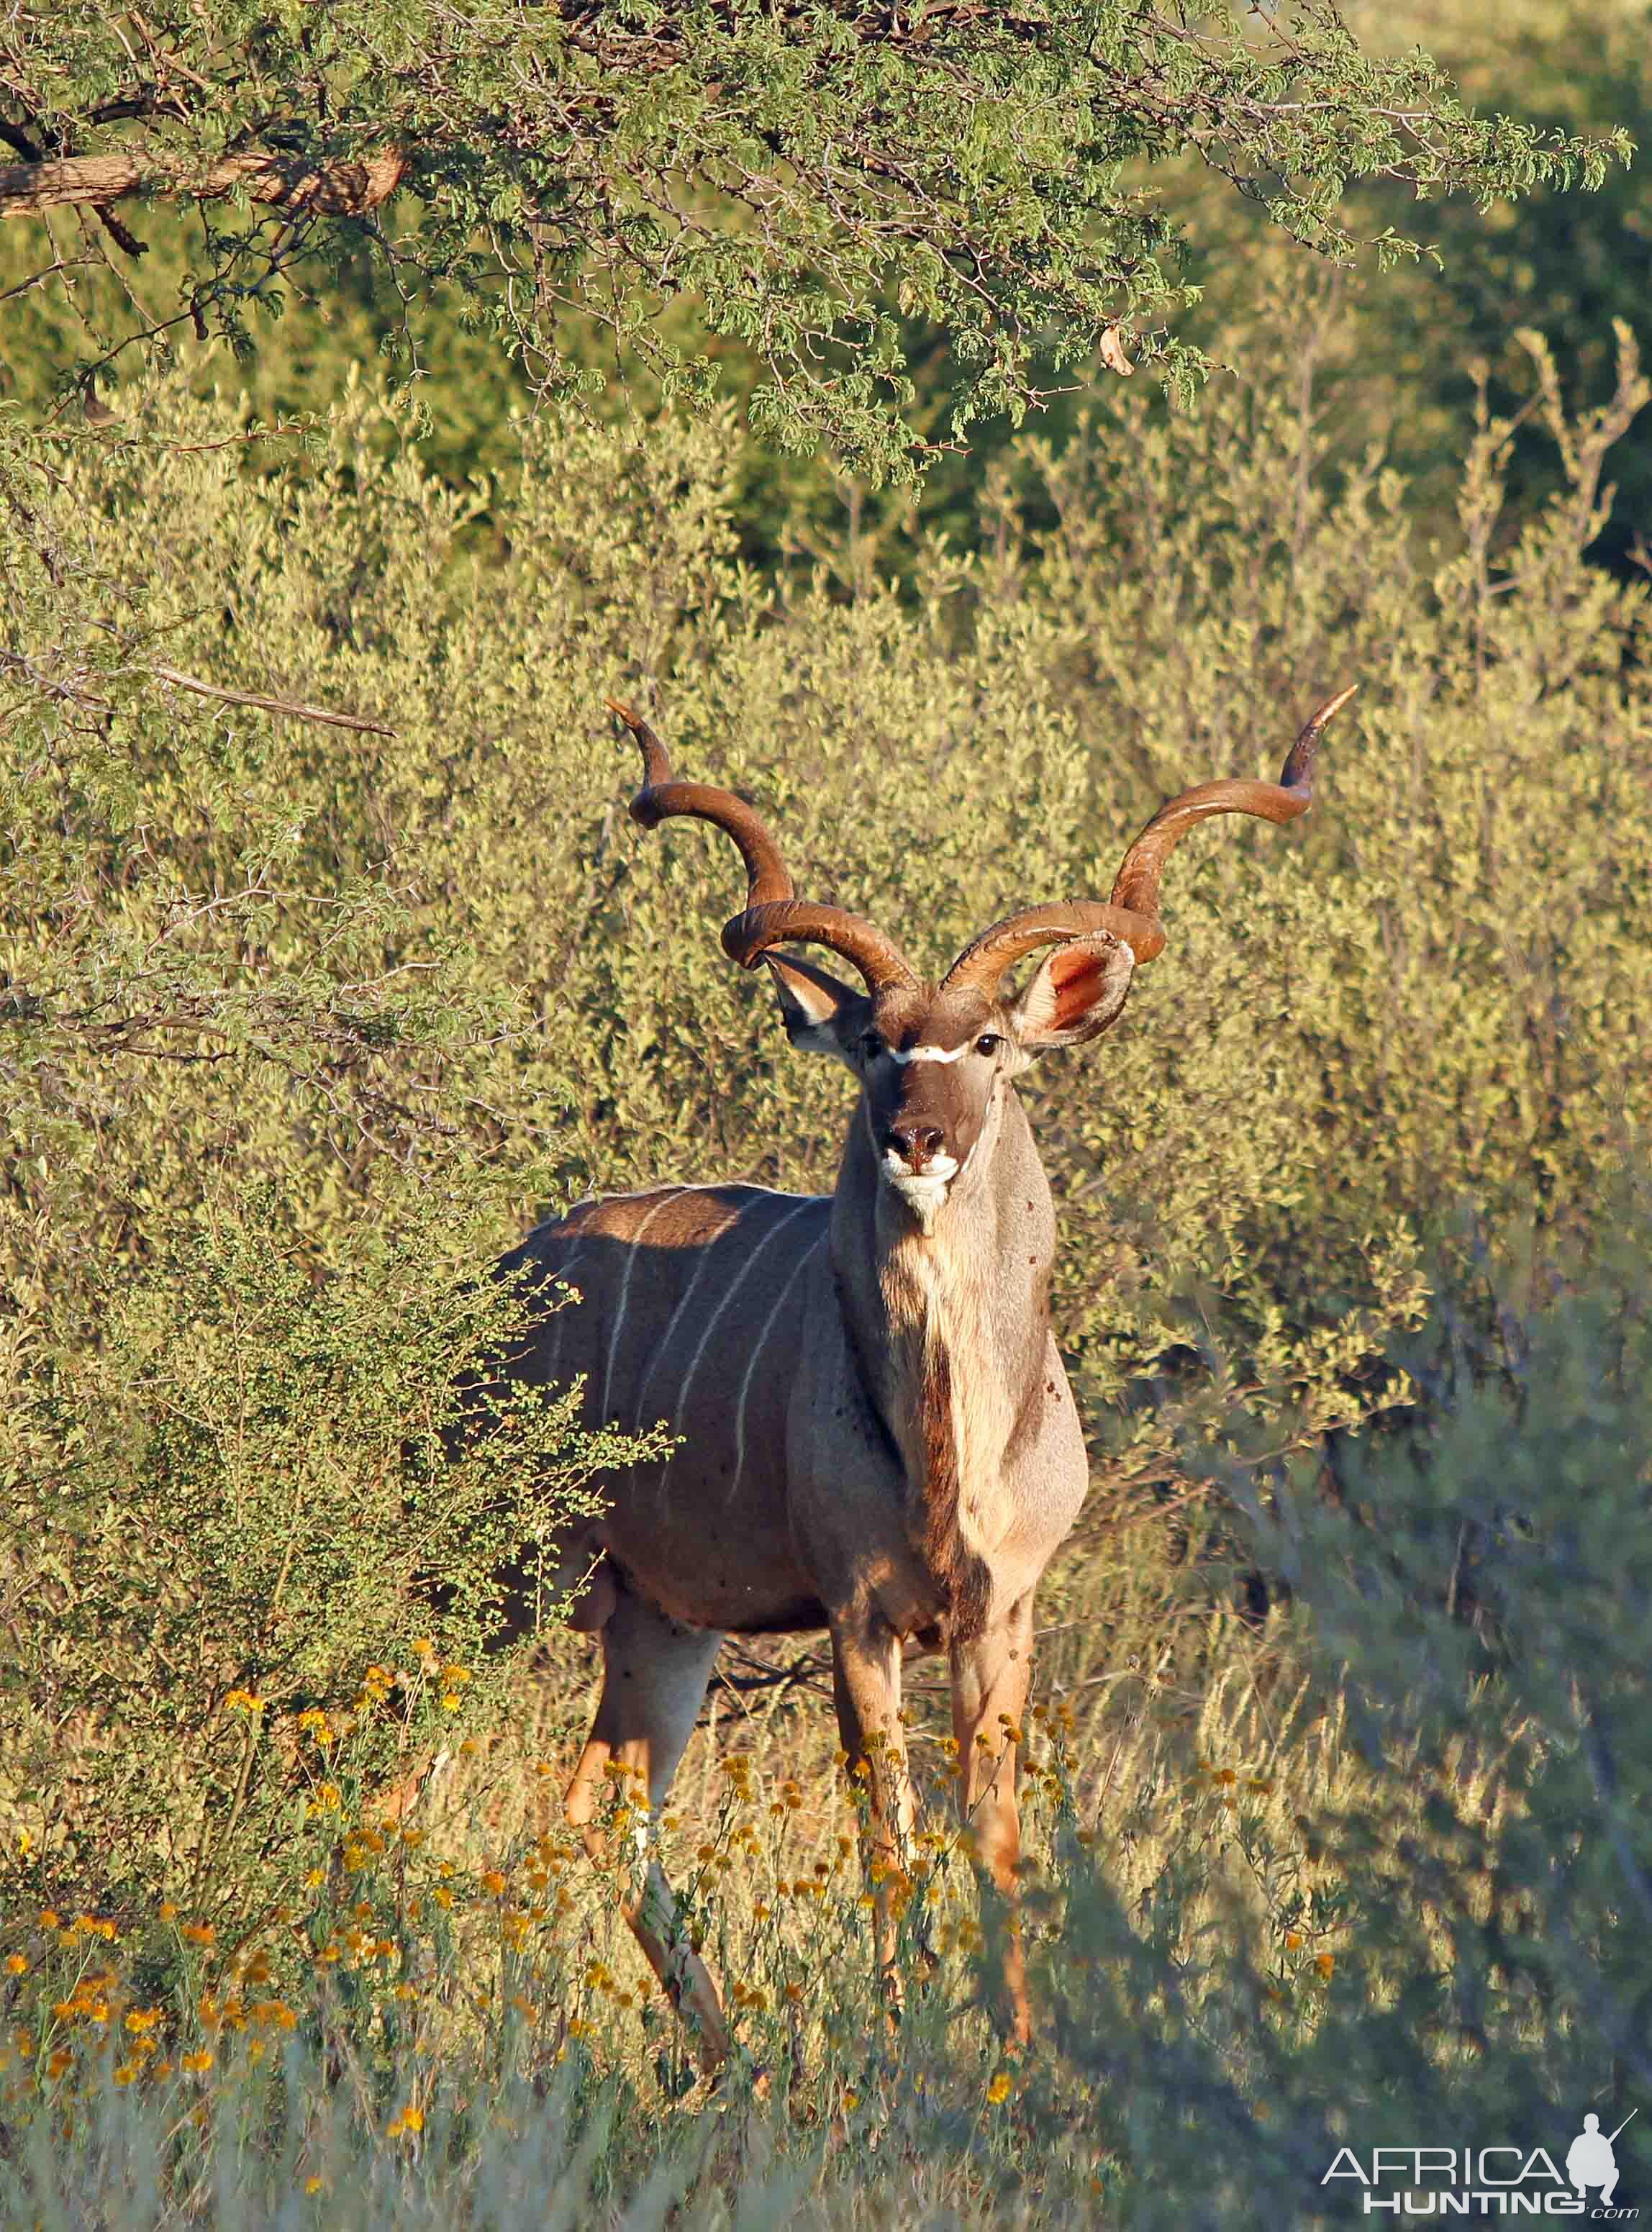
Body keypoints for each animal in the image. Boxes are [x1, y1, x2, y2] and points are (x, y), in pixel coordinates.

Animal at [502, 683, 1357, 2071]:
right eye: (873, 1043)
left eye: (993, 1041)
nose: (918, 1138)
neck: (949, 1445)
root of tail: (497, 1278)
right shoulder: (859, 1617)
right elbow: (886, 1843)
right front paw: (904, 2054)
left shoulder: (1000, 1613)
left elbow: (992, 1840)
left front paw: (1012, 2056)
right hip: (507, 1582)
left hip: (659, 1621)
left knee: (600, 1813)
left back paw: (727, 2064)